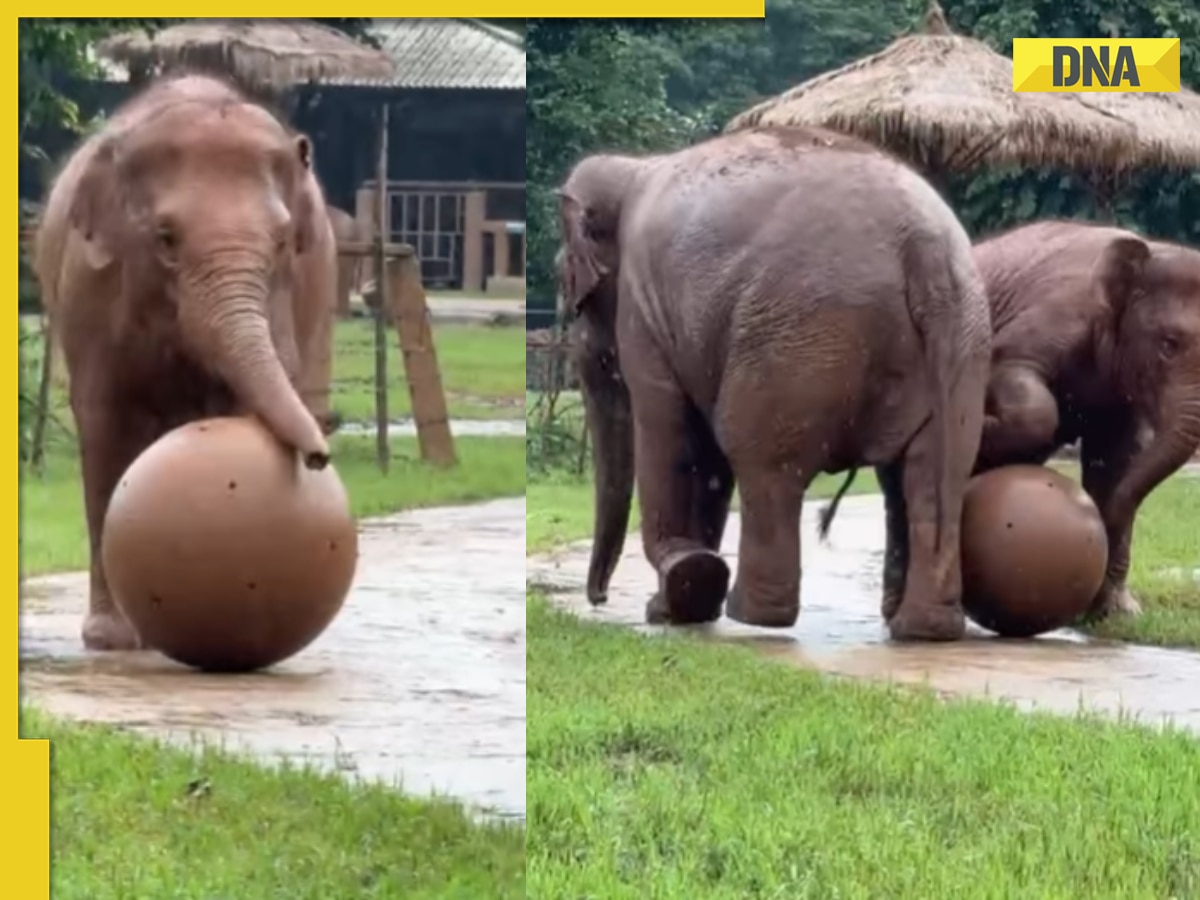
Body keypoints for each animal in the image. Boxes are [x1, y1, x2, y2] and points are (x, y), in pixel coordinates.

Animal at [32, 75, 340, 657]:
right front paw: (109, 640)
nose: (318, 456)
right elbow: (103, 427)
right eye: (165, 239)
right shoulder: (91, 292)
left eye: (283, 241)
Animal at [561, 128, 993, 648]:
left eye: (574, 293)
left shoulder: (643, 310)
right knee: (928, 473)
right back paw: (921, 630)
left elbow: (671, 434)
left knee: (760, 459)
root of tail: (922, 245)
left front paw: (671, 601)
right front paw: (685, 602)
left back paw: (754, 615)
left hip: (794, 339)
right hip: (963, 339)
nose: (598, 599)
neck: (632, 169)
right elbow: (706, 457)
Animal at [969, 222, 1195, 624]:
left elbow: (1118, 461)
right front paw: (982, 431)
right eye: (1169, 344)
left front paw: (1117, 615)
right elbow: (1011, 372)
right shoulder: (1052, 317)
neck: (1155, 249)